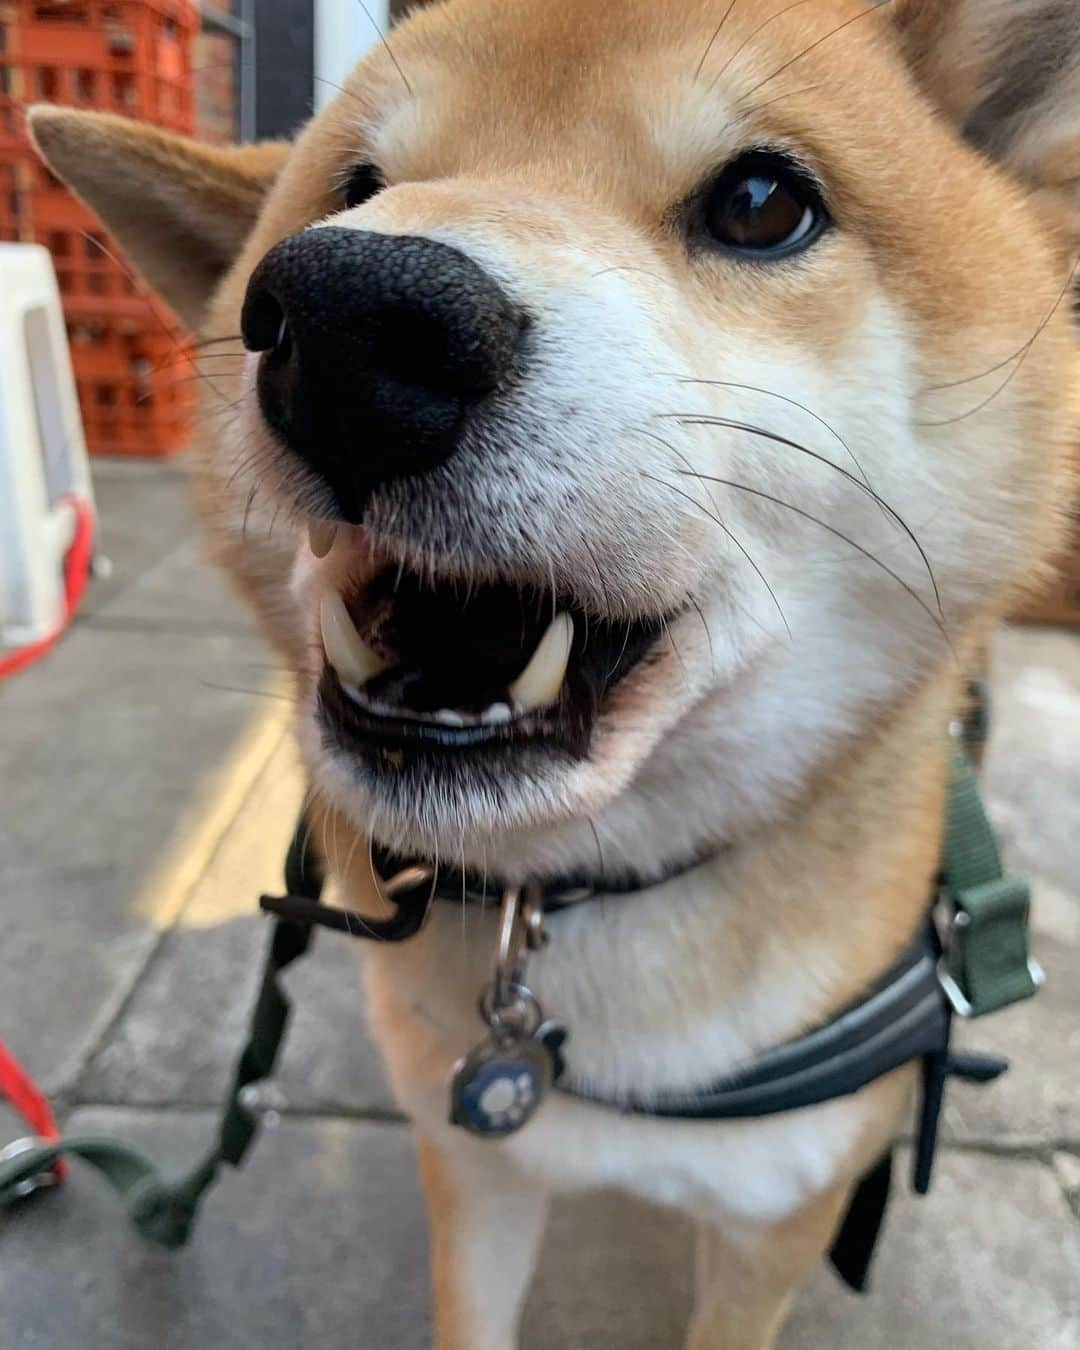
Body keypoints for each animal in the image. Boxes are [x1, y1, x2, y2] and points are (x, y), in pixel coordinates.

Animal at [29, 0, 1074, 1344]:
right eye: (354, 189)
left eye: (760, 202)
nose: (351, 314)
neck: (580, 907)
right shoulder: (474, 1159)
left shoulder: (769, 1226)